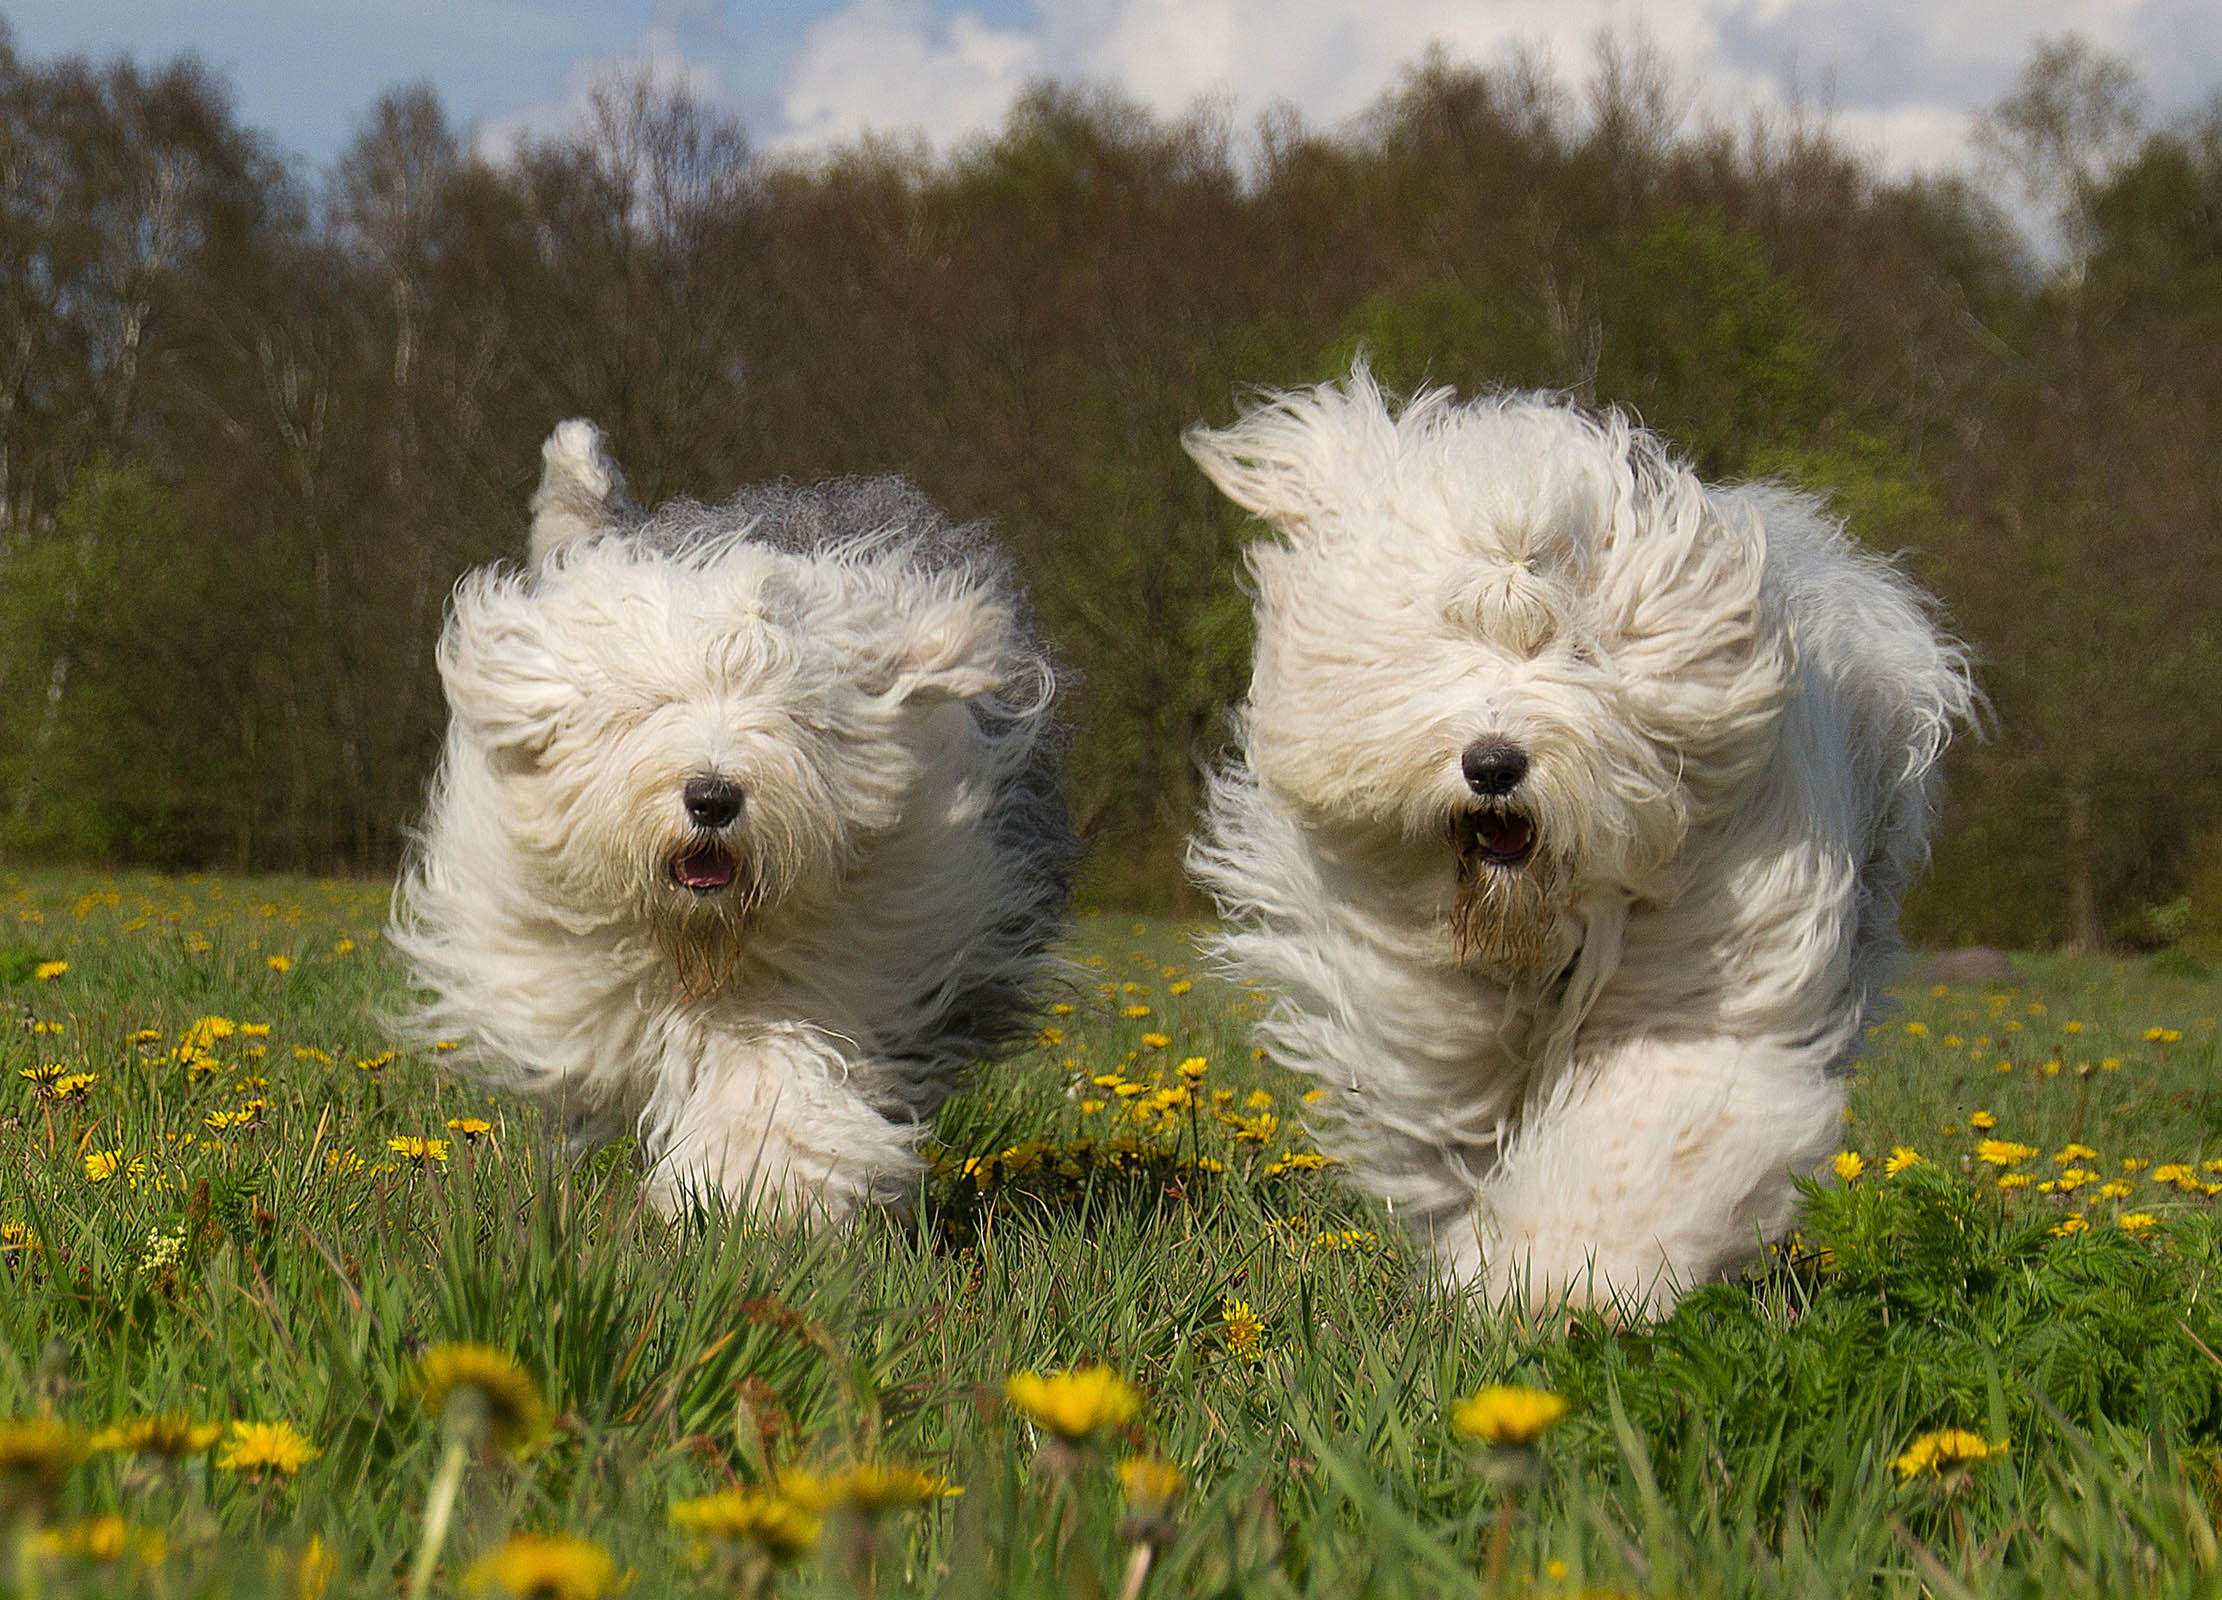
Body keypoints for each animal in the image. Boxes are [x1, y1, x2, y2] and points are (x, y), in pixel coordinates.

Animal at [393, 424, 1075, 1226]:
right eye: (654, 704)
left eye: (796, 715)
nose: (713, 798)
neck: (704, 939)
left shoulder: (847, 965)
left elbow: (775, 1073)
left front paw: (760, 1197)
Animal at [1190, 375, 1973, 1315]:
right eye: (1447, 641)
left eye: (1576, 647)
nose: (1493, 764)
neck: (1533, 920)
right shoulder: (1423, 1016)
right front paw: (1491, 1264)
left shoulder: (1699, 985)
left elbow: (1648, 1126)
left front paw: (1572, 1277)